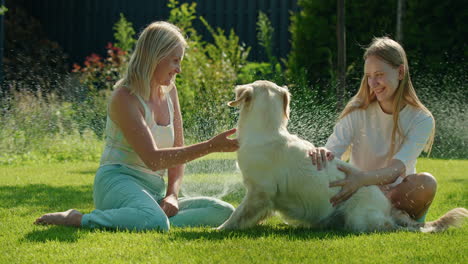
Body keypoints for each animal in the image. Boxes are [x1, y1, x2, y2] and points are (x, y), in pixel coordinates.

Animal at [218, 79, 466, 232]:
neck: (268, 130)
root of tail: (387, 207)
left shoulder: (259, 192)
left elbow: (238, 214)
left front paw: (219, 229)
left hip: (360, 218)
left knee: (389, 227)